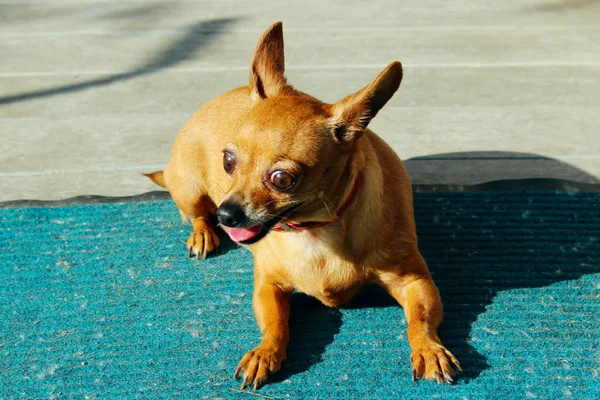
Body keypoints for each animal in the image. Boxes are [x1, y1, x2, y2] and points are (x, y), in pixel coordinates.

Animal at [148, 21, 462, 390]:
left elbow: (420, 319)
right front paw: (264, 353)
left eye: (283, 179)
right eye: (228, 162)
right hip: (188, 186)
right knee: (195, 213)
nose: (226, 215)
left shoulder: (414, 282)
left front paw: (429, 348)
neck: (314, 232)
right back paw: (203, 234)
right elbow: (275, 324)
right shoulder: (268, 288)